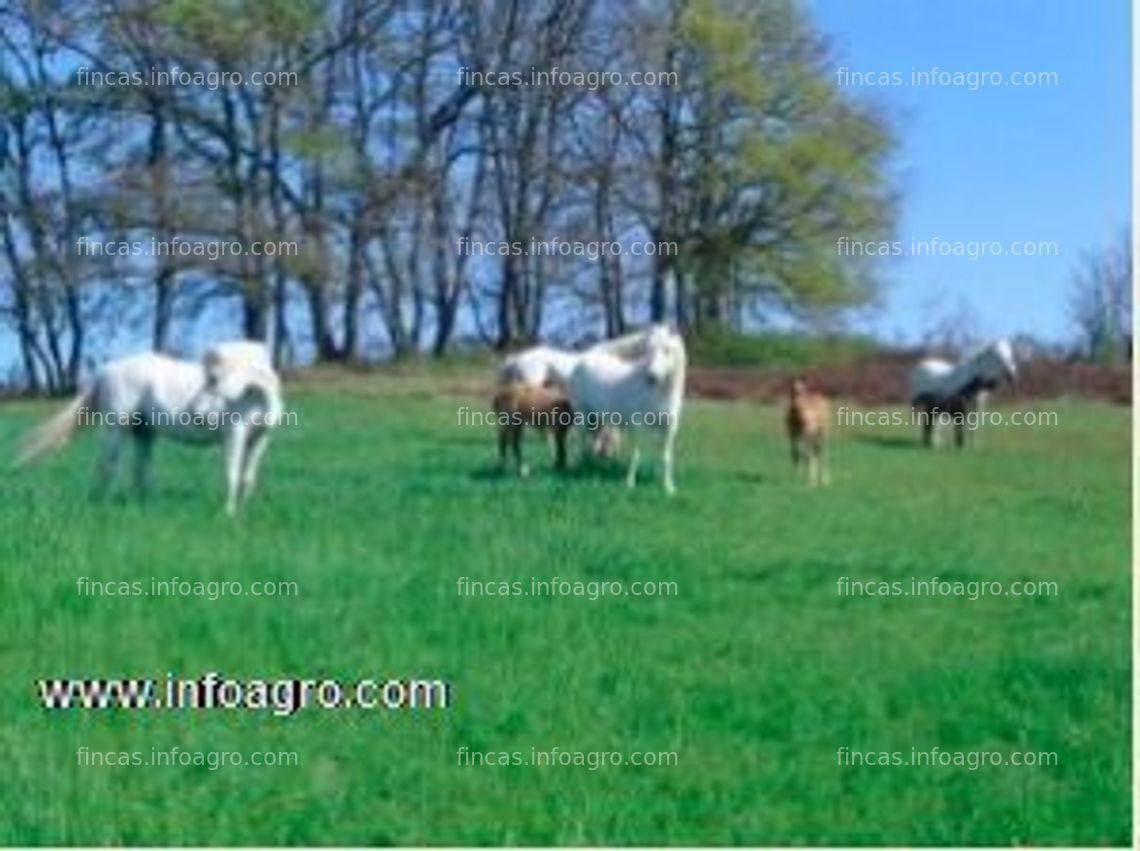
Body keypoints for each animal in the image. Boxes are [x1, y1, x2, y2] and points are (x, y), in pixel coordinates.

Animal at [16, 337, 285, 511]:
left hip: (143, 432)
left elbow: (247, 477)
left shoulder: (260, 440)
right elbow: (231, 474)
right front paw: (227, 513)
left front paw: (241, 510)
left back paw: (144, 506)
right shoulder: (235, 435)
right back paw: (101, 504)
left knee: (140, 471)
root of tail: (106, 370)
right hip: (117, 429)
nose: (196, 413)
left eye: (213, 378)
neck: (254, 396)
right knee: (107, 465)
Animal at [563, 326, 679, 497]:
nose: (651, 377)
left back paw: (592, 467)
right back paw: (582, 468)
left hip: (597, 418)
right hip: (582, 413)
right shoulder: (638, 426)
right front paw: (629, 483)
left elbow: (666, 457)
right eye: (649, 350)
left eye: (667, 350)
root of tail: (586, 356)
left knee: (593, 443)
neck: (657, 393)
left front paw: (668, 487)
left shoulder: (669, 430)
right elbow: (636, 453)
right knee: (582, 440)